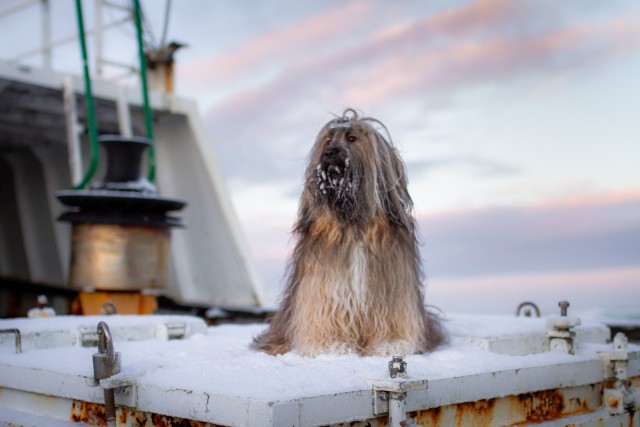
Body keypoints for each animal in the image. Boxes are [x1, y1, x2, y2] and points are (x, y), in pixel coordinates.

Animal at [252, 108, 442, 356]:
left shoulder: (392, 286)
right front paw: (331, 345)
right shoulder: (324, 287)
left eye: (352, 138)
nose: (330, 152)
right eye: (327, 141)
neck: (354, 223)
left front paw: (390, 343)